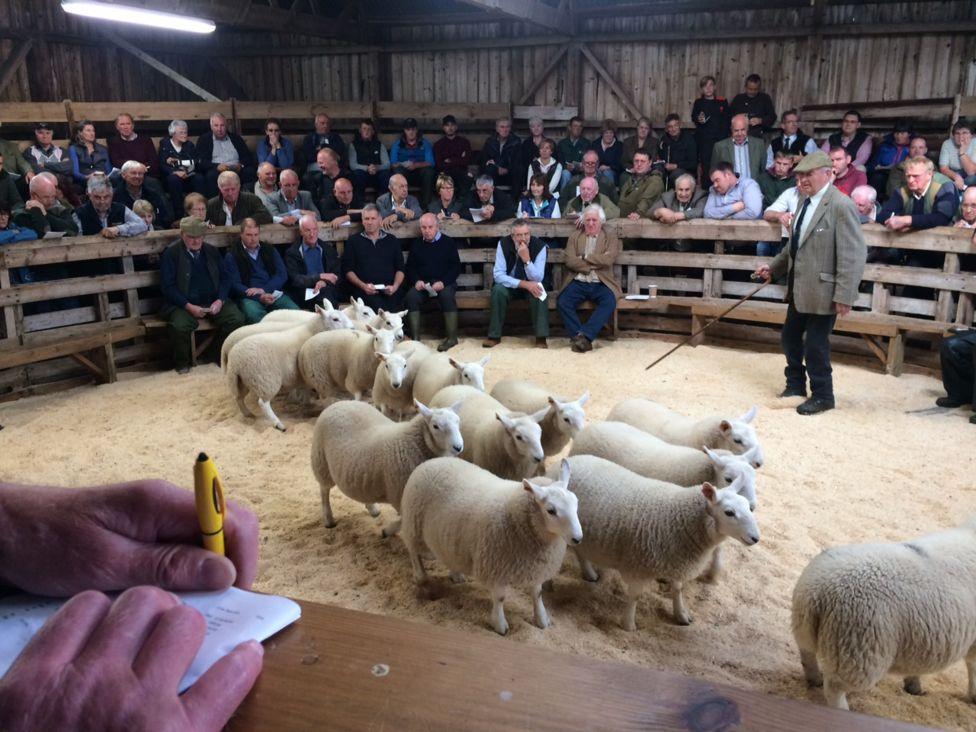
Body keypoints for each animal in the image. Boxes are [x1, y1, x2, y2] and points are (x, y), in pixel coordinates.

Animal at [312, 398, 466, 536]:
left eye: (458, 422)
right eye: (435, 426)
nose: (458, 447)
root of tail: (339, 403)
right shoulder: (402, 495)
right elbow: (404, 521)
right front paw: (387, 531)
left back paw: (372, 508)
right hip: (321, 462)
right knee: (324, 490)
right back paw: (328, 519)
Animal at [398, 458, 580, 636]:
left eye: (576, 503)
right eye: (551, 510)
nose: (578, 538)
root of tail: (431, 461)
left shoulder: (535, 567)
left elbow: (538, 594)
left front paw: (542, 619)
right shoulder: (496, 567)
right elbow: (499, 598)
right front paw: (500, 624)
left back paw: (456, 575)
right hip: (413, 524)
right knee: (413, 551)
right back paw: (421, 577)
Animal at [552, 452, 760, 628]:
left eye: (748, 507)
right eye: (729, 512)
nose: (756, 538)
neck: (681, 518)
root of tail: (573, 459)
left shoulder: (678, 561)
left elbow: (678, 589)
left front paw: (681, 614)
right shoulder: (637, 565)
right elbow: (635, 597)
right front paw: (628, 625)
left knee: (579, 549)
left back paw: (589, 573)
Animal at [788, 516, 976, 712]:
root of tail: (817, 593)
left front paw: (913, 686)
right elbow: (973, 666)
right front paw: (973, 696)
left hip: (805, 627)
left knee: (807, 654)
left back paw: (814, 679)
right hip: (859, 651)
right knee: (835, 687)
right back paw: (842, 709)